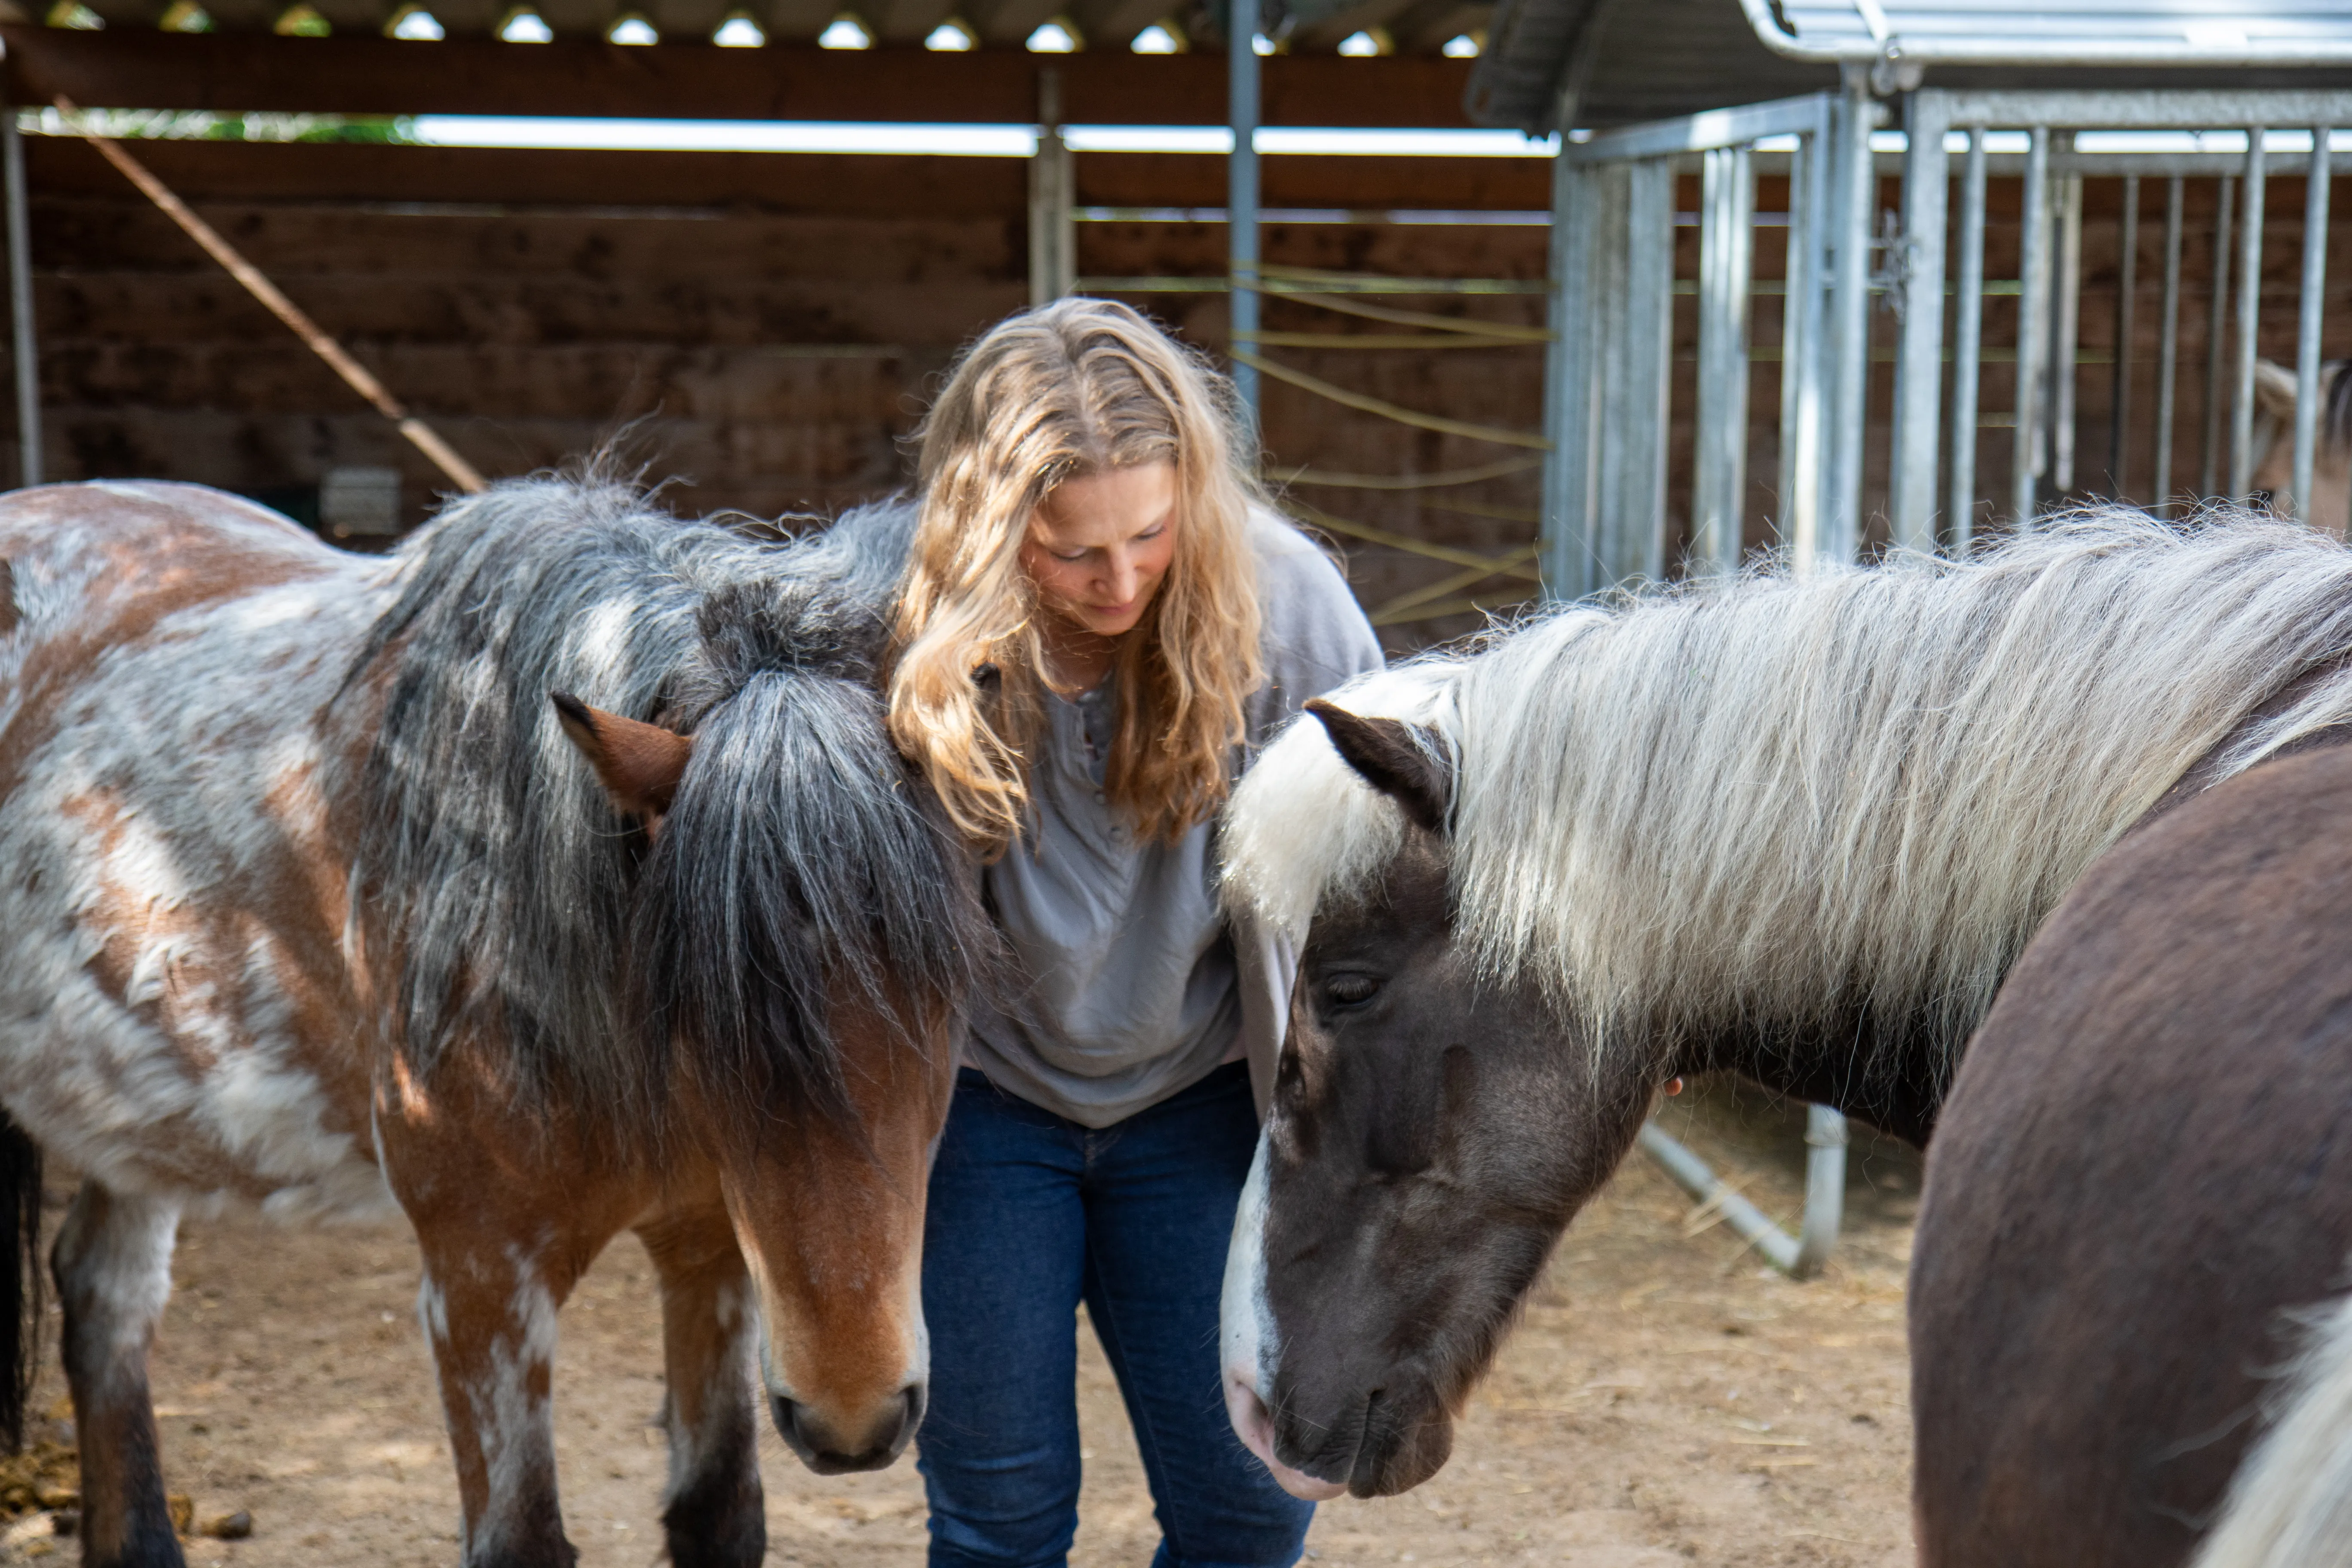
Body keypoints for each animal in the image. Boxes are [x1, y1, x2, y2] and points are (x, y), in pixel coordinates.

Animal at [0, 476, 982, 1568]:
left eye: (947, 984)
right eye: (704, 1001)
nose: (854, 1414)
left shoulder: (711, 1252)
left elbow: (718, 1509)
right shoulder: (480, 1286)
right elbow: (523, 1535)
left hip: (139, 1129)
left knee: (107, 1303)